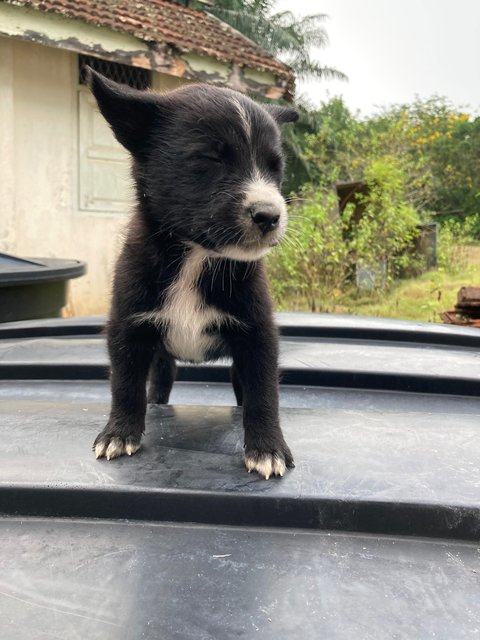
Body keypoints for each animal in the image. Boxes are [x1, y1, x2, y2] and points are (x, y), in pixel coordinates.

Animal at [86, 70, 296, 480]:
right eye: (210, 158)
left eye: (275, 167)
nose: (270, 216)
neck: (197, 258)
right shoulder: (127, 328)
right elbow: (125, 385)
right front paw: (119, 433)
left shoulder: (258, 336)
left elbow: (264, 394)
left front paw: (267, 448)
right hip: (162, 361)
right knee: (157, 386)